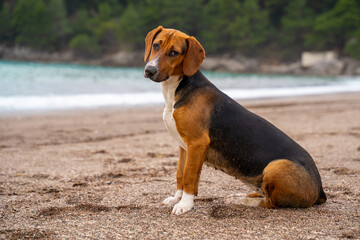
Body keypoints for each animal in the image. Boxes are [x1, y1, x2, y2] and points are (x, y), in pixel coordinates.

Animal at [143, 26, 326, 216]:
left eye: (174, 52)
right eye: (156, 45)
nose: (149, 70)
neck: (177, 88)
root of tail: (320, 191)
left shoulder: (196, 143)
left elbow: (188, 176)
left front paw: (184, 204)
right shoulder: (185, 147)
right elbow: (180, 174)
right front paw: (177, 198)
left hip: (275, 167)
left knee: (269, 203)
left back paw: (240, 201)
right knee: (262, 194)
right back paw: (239, 196)